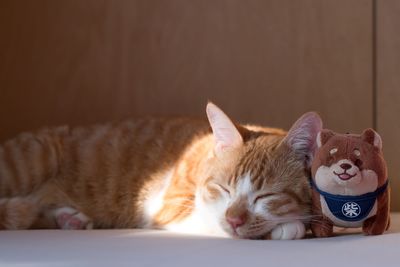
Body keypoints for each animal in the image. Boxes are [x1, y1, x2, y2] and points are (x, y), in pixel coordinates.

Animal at [0, 103, 322, 241]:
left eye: (265, 196)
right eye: (223, 189)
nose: (234, 219)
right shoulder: (169, 207)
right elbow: (210, 218)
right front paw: (289, 226)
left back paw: (67, 219)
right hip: (31, 160)